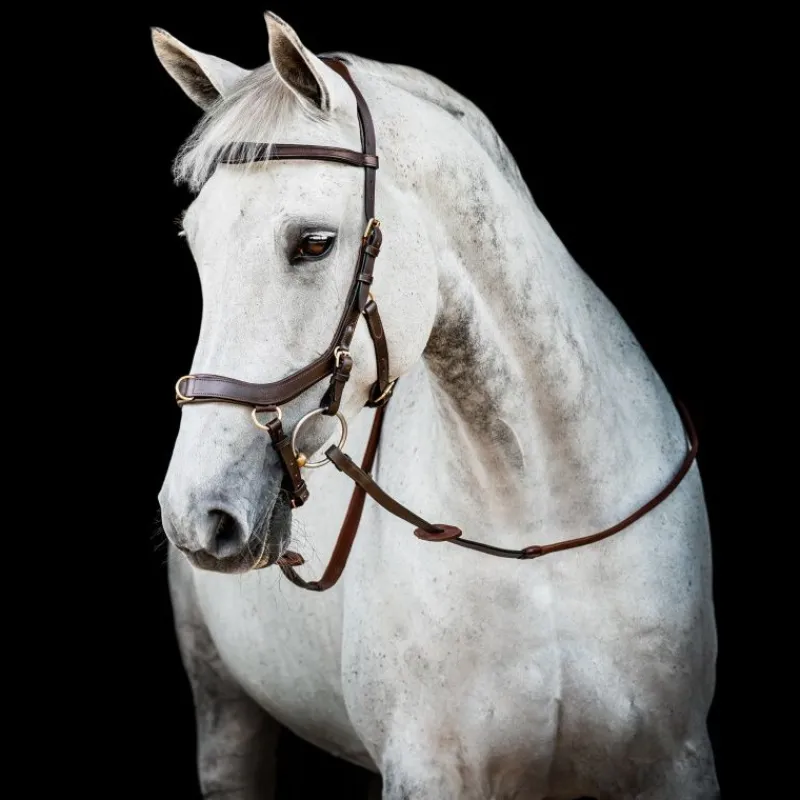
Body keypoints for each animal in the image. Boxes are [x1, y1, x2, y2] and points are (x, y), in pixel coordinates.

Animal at [152, 11, 719, 799]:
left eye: (314, 243)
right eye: (195, 242)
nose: (195, 513)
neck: (539, 529)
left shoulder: (677, 762)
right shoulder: (427, 772)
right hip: (224, 709)